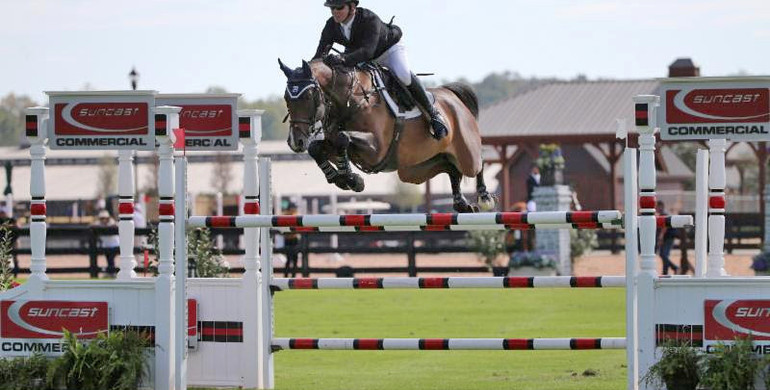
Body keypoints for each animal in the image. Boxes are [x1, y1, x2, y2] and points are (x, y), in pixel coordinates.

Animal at [280, 58, 496, 213]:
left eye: (308, 96)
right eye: (286, 98)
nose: (296, 142)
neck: (350, 100)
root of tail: (452, 95)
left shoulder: (376, 149)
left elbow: (344, 138)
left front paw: (352, 179)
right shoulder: (333, 145)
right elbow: (317, 147)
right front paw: (340, 178)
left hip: (466, 152)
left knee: (478, 163)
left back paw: (485, 198)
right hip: (414, 170)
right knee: (450, 168)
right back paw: (461, 203)